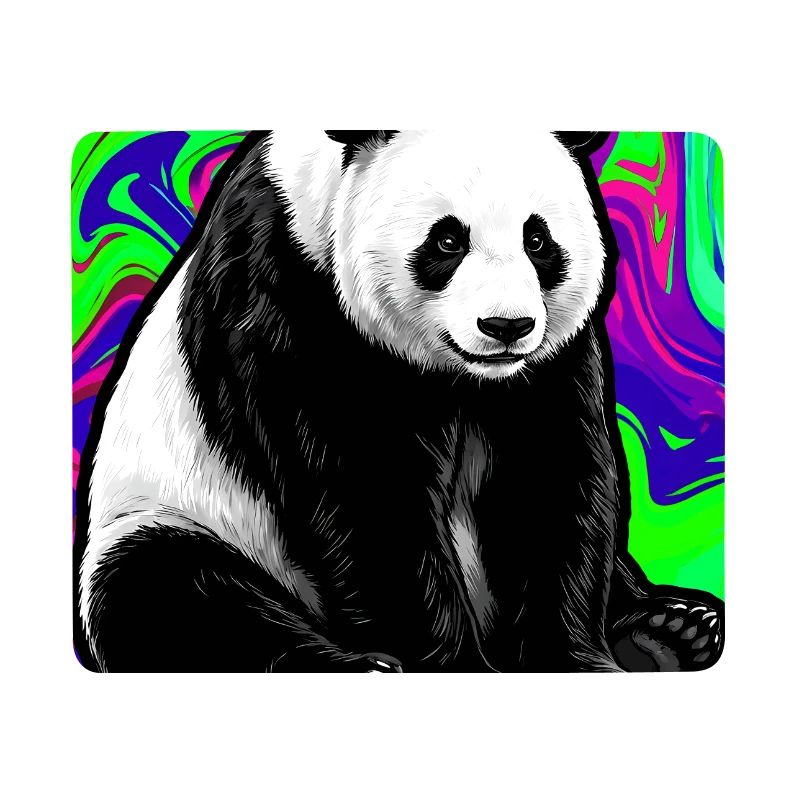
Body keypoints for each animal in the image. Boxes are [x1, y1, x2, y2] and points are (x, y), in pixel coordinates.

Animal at [74, 130, 724, 672]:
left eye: (538, 239)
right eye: (447, 239)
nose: (506, 326)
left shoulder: (547, 364)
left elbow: (548, 479)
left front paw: (569, 659)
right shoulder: (288, 290)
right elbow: (367, 488)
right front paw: (452, 666)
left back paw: (674, 630)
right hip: (174, 514)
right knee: (172, 594)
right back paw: (356, 668)